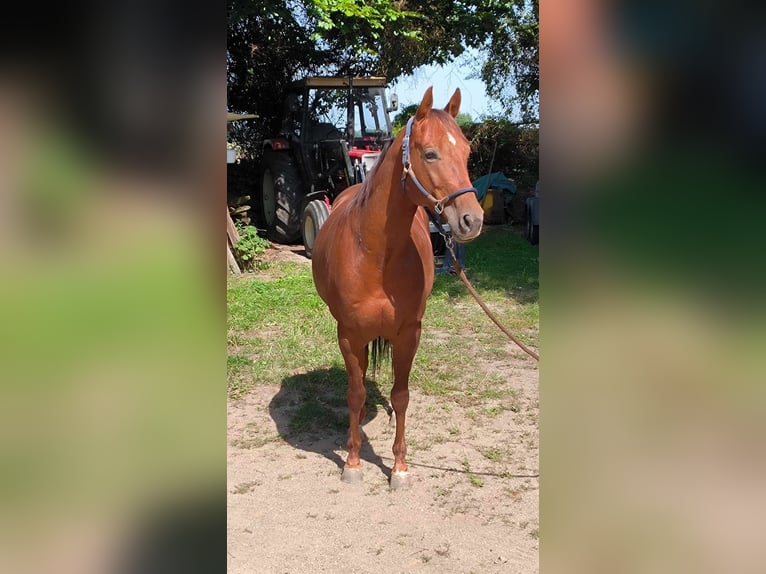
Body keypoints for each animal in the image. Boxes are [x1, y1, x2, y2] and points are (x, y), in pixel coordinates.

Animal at [310, 86, 480, 490]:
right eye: (430, 153)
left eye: (467, 153)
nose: (473, 219)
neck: (374, 254)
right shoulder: (349, 334)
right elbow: (355, 394)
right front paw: (353, 461)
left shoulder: (409, 334)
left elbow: (401, 396)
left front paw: (399, 467)